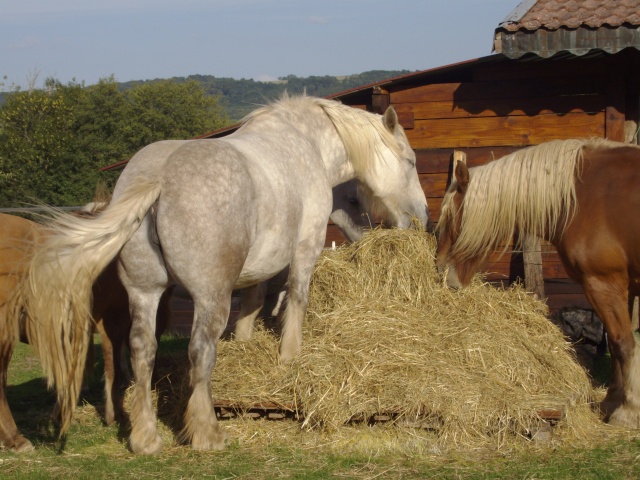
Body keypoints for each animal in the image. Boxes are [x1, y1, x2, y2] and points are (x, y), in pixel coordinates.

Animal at [21, 94, 430, 454]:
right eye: (410, 162)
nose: (422, 217)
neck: (306, 144)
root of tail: (158, 177)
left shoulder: (257, 268)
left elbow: (252, 302)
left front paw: (247, 343)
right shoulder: (305, 249)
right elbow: (296, 298)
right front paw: (290, 357)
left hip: (145, 292)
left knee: (142, 350)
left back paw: (145, 437)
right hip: (209, 298)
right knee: (200, 352)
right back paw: (207, 434)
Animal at [436, 138, 640, 428]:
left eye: (451, 217)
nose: (441, 270)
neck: (581, 197)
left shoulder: (604, 284)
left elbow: (623, 344)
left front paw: (627, 412)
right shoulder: (623, 288)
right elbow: (615, 343)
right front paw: (611, 402)